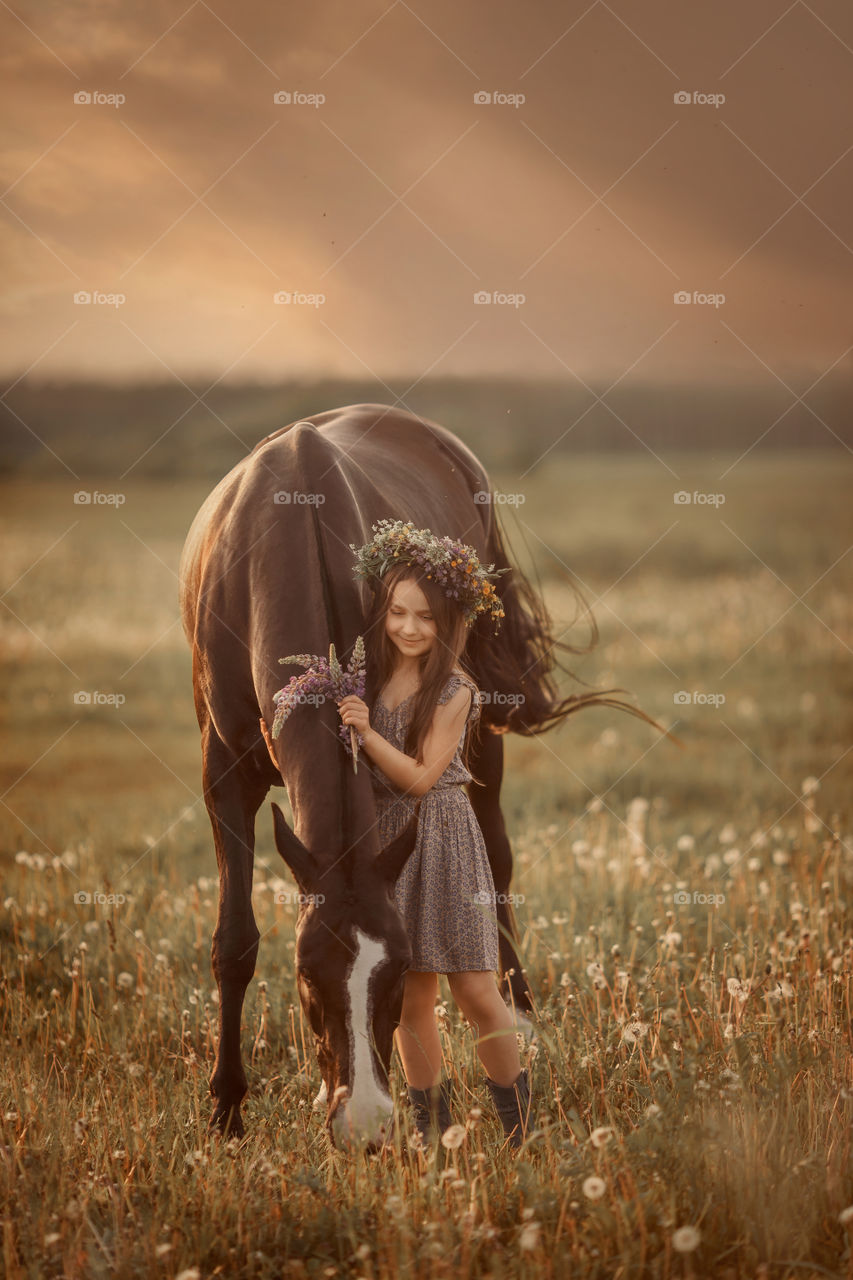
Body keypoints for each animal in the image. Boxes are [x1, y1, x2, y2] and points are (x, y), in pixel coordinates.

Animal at [178, 404, 645, 1146]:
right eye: (306, 976)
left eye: (397, 972)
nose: (365, 1124)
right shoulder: (223, 777)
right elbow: (235, 942)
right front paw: (225, 1110)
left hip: (480, 732)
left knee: (498, 861)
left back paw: (519, 1016)